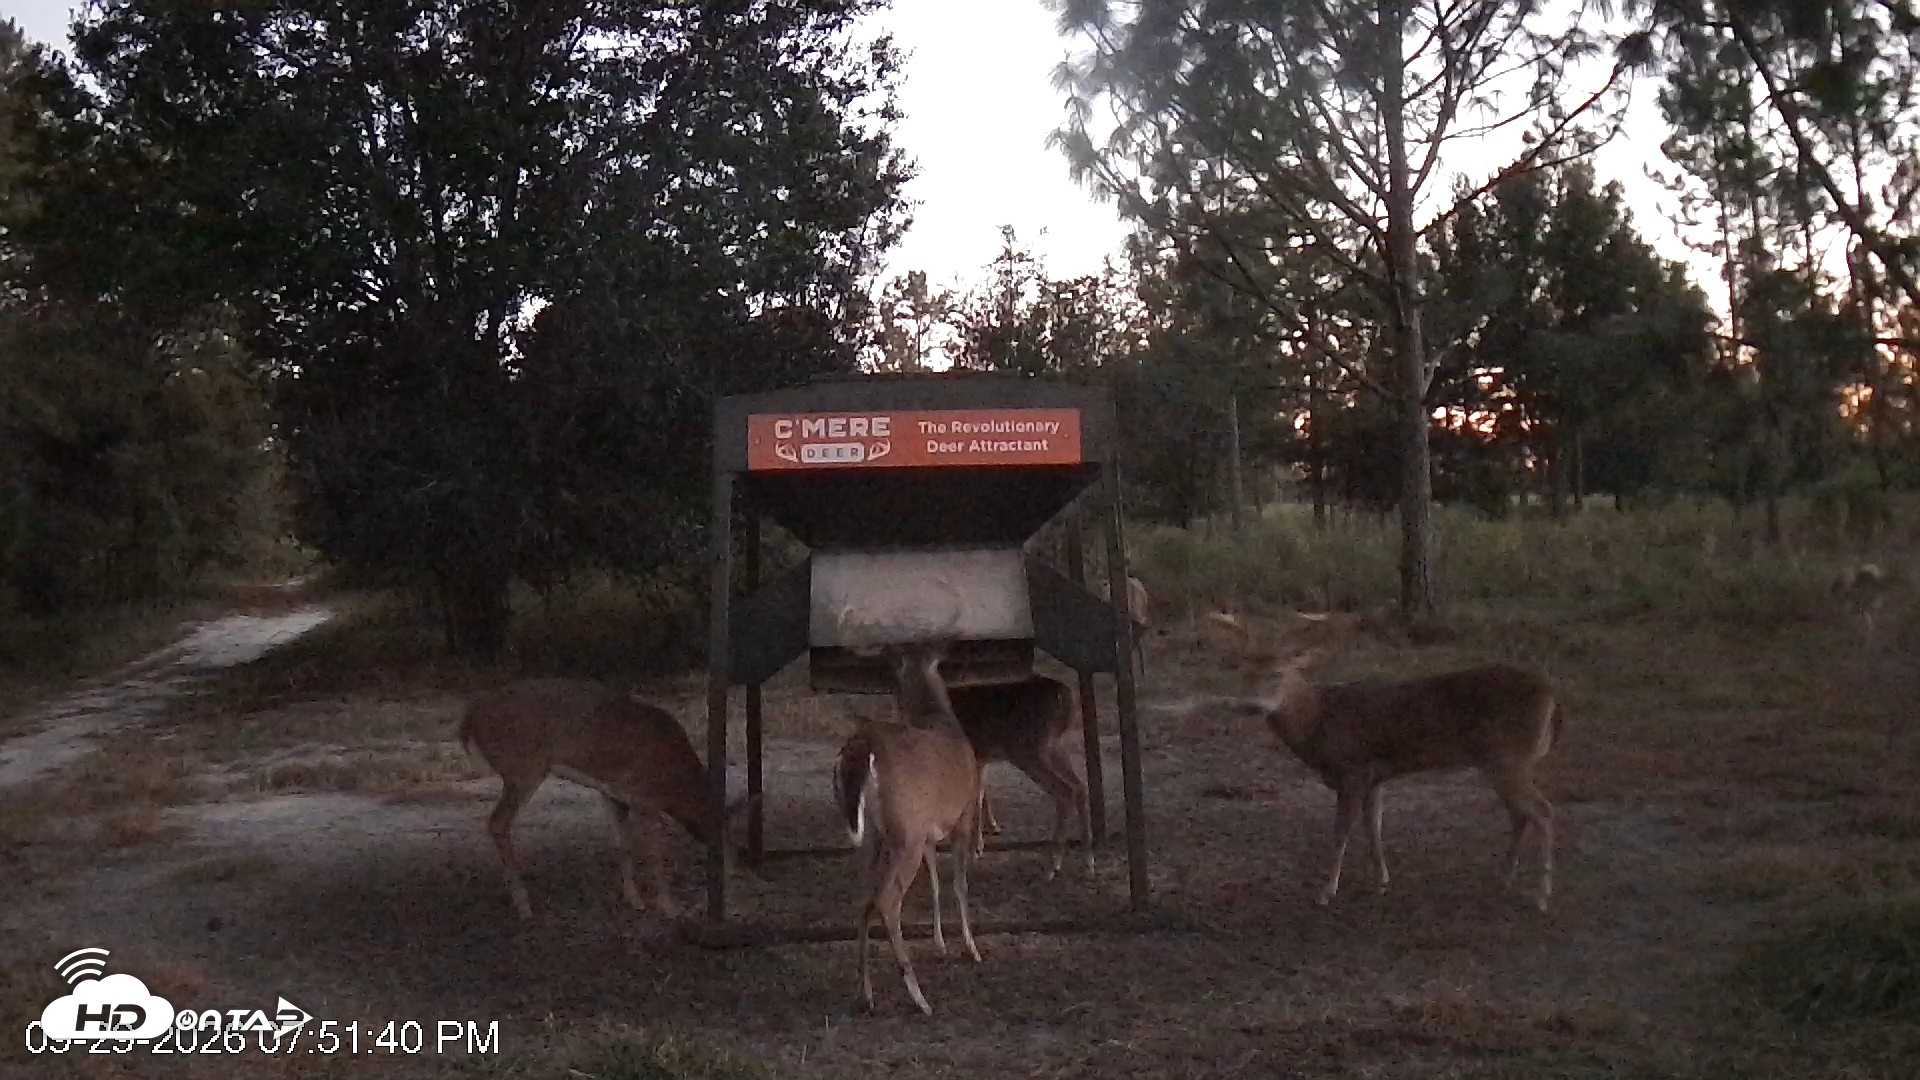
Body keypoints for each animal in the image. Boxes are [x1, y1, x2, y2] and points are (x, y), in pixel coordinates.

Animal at [457, 677, 754, 921]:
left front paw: (634, 899)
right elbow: (654, 854)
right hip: (522, 768)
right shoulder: (646, 797)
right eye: (725, 828)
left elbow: (625, 845)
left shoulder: (615, 794)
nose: (737, 863)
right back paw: (523, 904)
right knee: (498, 823)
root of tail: (470, 717)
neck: (675, 782)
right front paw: (670, 907)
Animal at [1207, 612, 1563, 912]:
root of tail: (1552, 694)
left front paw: (1326, 891)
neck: (1319, 721)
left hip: (1508, 757)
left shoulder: (1351, 769)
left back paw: (1542, 896)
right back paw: (1504, 880)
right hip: (1502, 762)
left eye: (1278, 675)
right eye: (1244, 673)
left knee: (1543, 811)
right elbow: (1373, 825)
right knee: (1520, 814)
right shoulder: (1374, 776)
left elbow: (1341, 832)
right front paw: (1381, 881)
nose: (1252, 706)